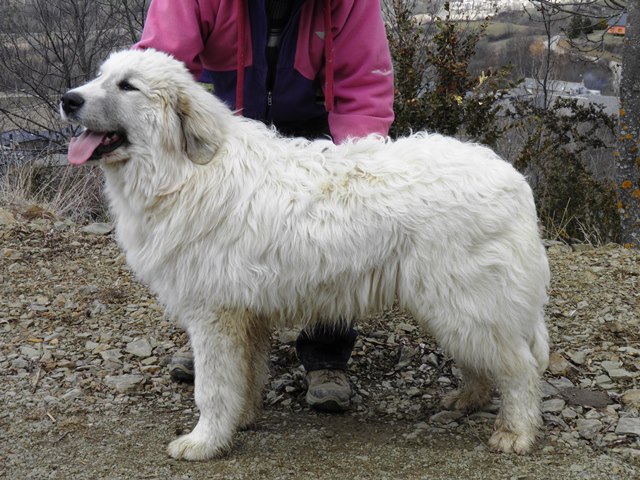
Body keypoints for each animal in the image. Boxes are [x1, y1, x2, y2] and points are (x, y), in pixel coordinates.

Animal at [61, 49, 552, 462]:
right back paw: (468, 399)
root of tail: (514, 180)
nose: (68, 99)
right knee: (489, 363)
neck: (182, 170)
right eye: (101, 76)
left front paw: (204, 442)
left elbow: (213, 389)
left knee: (521, 369)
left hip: (464, 304)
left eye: (128, 85)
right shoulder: (245, 316)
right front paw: (240, 422)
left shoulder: (214, 315)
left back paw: (516, 432)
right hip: (456, 306)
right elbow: (246, 377)